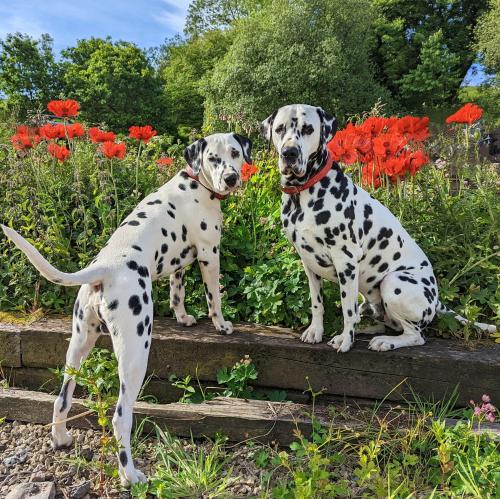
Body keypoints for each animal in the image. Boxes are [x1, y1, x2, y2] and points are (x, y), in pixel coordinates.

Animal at [0, 132, 250, 484]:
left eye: (235, 153)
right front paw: (222, 324)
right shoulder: (208, 253)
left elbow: (177, 293)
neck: (195, 183)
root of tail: (104, 269)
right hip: (134, 355)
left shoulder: (179, 263)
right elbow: (214, 296)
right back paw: (130, 475)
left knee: (62, 397)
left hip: (78, 346)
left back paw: (61, 439)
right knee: (121, 417)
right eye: (214, 158)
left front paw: (183, 318)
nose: (231, 178)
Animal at [262, 103, 496, 354]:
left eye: (308, 129)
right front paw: (316, 331)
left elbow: (347, 309)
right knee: (383, 321)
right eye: (279, 129)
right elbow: (317, 303)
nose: (289, 153)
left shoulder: (346, 262)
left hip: (393, 282)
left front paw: (346, 340)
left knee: (415, 335)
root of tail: (436, 300)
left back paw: (384, 341)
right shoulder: (308, 263)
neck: (303, 194)